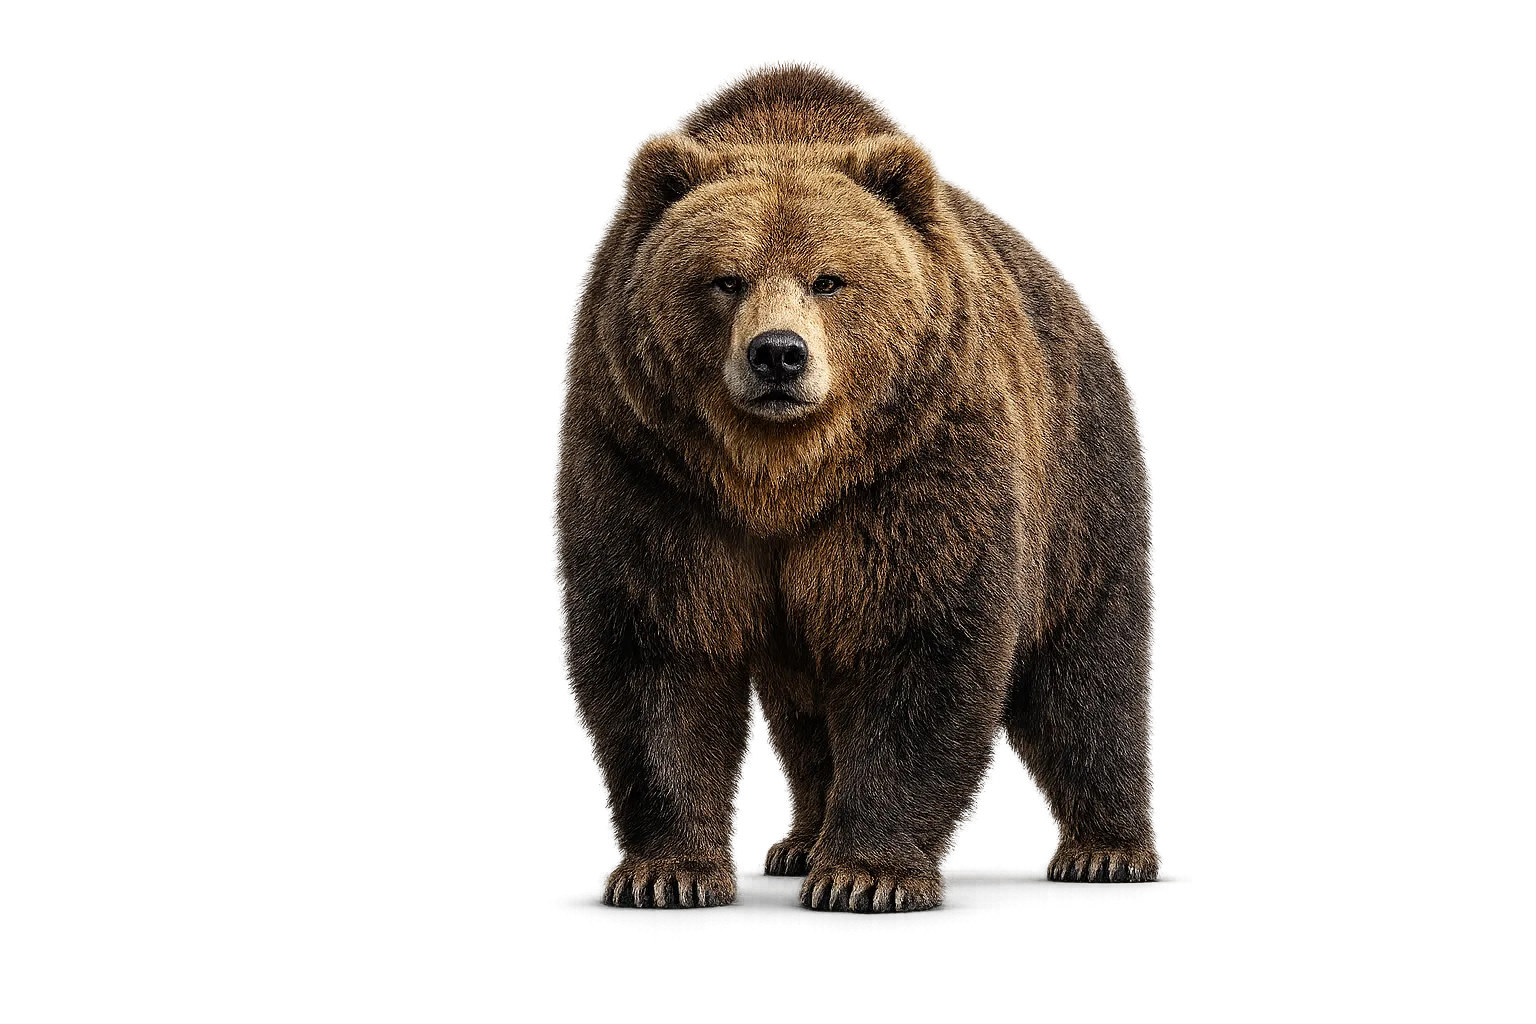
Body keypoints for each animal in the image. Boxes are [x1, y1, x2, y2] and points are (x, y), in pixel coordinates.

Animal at [555, 64, 1158, 913]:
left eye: (830, 280)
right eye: (725, 279)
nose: (778, 354)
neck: (782, 476)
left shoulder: (917, 466)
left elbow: (918, 638)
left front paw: (865, 874)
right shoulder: (653, 470)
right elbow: (662, 643)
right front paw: (665, 871)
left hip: (1080, 485)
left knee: (1086, 675)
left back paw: (1106, 848)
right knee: (808, 716)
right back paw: (798, 840)